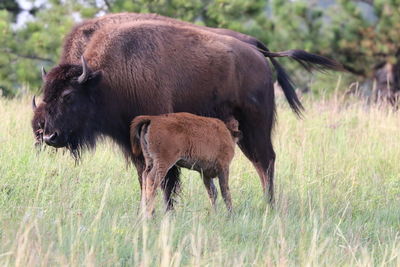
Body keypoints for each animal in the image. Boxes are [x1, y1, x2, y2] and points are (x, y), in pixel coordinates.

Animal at [33, 19, 340, 211]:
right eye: (46, 94)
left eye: (68, 96)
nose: (49, 136)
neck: (105, 79)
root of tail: (257, 52)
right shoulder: (136, 146)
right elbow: (145, 177)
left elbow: (167, 179)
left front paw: (166, 212)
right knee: (262, 162)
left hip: (255, 125)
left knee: (265, 161)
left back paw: (268, 205)